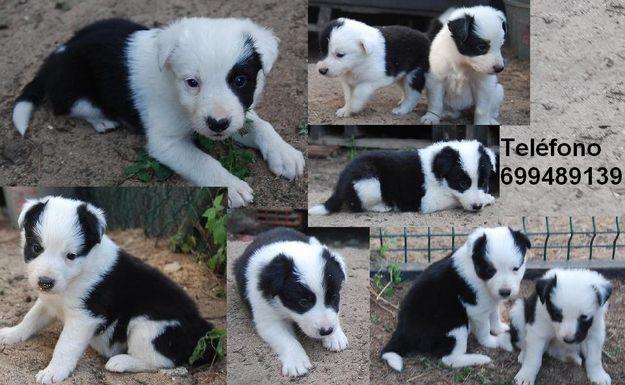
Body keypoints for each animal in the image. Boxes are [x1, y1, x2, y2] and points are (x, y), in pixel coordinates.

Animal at [0, 196, 213, 382]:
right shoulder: (49, 301)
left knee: (161, 361)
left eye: (71, 256)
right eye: (36, 248)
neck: (76, 276)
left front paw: (54, 371)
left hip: (147, 325)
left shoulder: (84, 317)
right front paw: (12, 333)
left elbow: (65, 346)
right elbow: (31, 318)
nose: (45, 282)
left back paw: (121, 361)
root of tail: (200, 326)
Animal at [12, 17, 304, 207]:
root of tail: (59, 52)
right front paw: (231, 186)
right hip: (74, 87)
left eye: (240, 80)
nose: (217, 123)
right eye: (192, 82)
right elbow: (203, 162)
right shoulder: (166, 144)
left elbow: (261, 125)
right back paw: (103, 120)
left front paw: (285, 154)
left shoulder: (236, 116)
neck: (175, 91)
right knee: (72, 107)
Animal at [235, 228, 348, 376]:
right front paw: (297, 362)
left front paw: (335, 336)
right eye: (303, 302)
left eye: (334, 297)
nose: (327, 331)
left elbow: (335, 315)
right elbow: (287, 340)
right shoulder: (267, 318)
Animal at [308, 140, 498, 214]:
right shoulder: (430, 201)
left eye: (483, 182)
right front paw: (488, 199)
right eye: (462, 183)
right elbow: (455, 200)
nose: (477, 207)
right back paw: (384, 206)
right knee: (358, 205)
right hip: (370, 182)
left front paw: (486, 197)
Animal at [378, 226, 528, 370]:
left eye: (516, 268)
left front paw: (500, 328)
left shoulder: (491, 302)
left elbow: (495, 316)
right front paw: (493, 341)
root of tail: (403, 332)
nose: (505, 292)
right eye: (490, 270)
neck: (476, 272)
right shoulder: (477, 310)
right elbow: (485, 330)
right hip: (456, 325)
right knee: (448, 359)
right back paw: (480, 358)